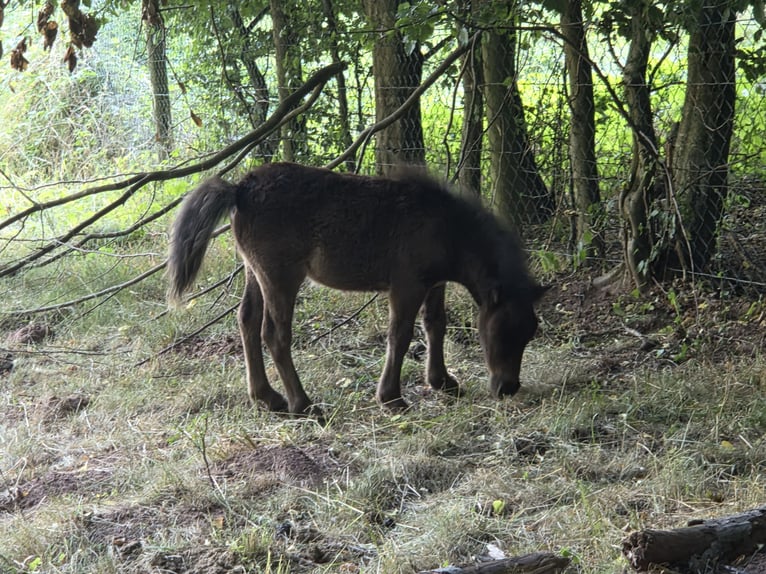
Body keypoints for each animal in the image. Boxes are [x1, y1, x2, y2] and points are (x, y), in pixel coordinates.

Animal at [168, 162, 547, 416]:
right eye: (503, 333)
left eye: (529, 333)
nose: (508, 387)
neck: (447, 228)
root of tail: (240, 188)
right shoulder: (406, 285)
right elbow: (400, 335)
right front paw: (392, 398)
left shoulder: (433, 283)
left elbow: (435, 325)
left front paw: (442, 381)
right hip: (280, 276)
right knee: (274, 334)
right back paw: (302, 404)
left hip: (254, 271)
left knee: (246, 320)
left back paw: (268, 397)